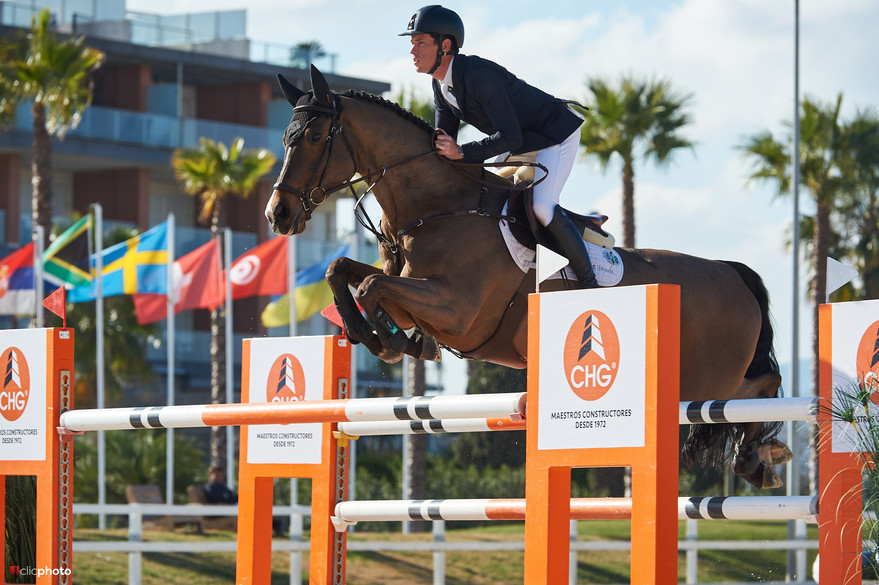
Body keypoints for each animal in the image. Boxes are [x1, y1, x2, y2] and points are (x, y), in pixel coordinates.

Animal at [266, 65, 792, 488]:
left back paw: (763, 455)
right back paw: (758, 459)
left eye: (314, 137)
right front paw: (384, 337)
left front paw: (387, 340)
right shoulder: (410, 283)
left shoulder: (459, 310)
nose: (278, 214)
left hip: (712, 379)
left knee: (763, 385)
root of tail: (732, 272)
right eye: (285, 137)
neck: (437, 207)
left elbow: (372, 286)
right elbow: (345, 272)